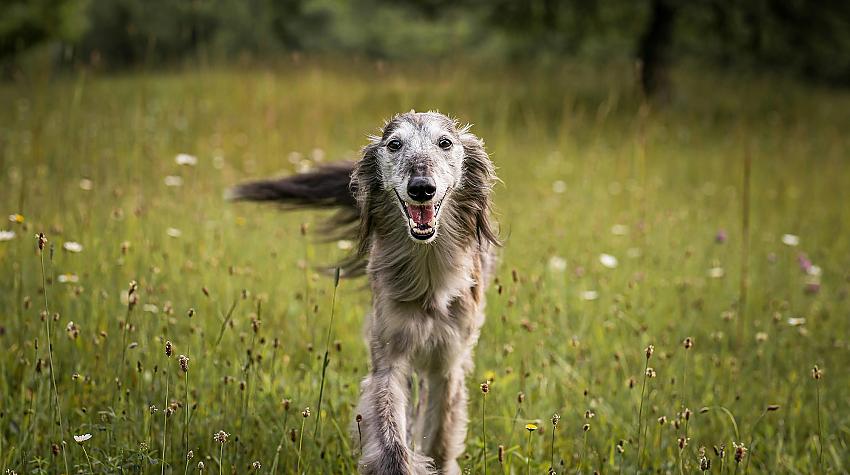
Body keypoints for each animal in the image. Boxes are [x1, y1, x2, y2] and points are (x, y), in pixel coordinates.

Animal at [229, 111, 500, 475]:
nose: (421, 188)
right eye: (394, 144)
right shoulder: (389, 357)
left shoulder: (448, 361)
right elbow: (391, 440)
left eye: (445, 142)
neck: (428, 275)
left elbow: (441, 439)